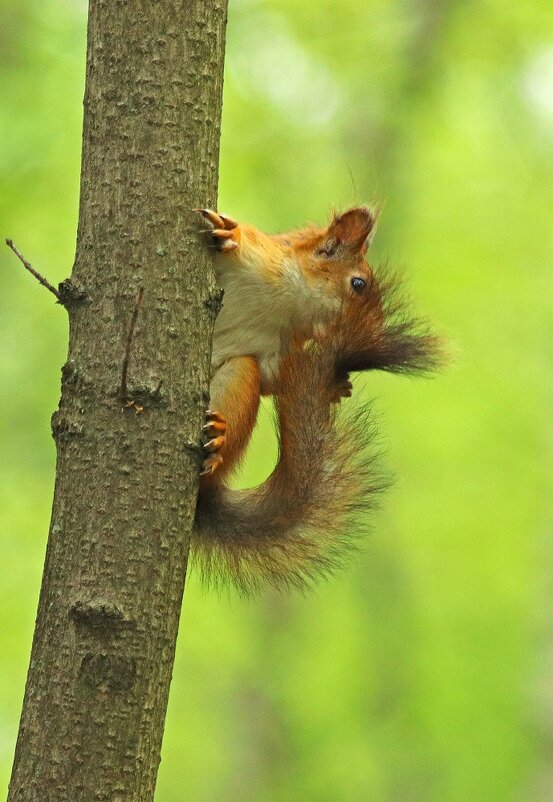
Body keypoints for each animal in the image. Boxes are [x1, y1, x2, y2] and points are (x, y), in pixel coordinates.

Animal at [191, 206, 440, 592]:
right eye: (358, 284)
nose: (369, 334)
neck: (284, 303)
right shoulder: (262, 259)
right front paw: (229, 232)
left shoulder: (274, 353)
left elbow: (275, 382)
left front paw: (338, 385)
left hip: (240, 373)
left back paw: (216, 440)